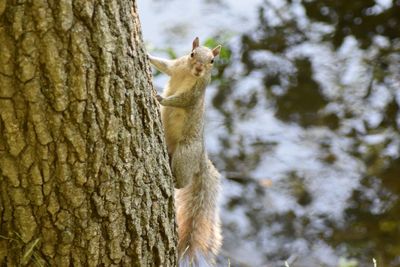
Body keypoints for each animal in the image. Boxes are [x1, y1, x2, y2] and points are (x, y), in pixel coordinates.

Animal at [148, 37, 222, 266]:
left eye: (212, 61)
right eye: (191, 54)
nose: (199, 69)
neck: (189, 74)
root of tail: (200, 157)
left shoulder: (196, 92)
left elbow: (183, 100)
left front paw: (161, 99)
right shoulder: (175, 66)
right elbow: (163, 64)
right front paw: (146, 54)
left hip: (184, 154)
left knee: (183, 182)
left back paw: (173, 181)